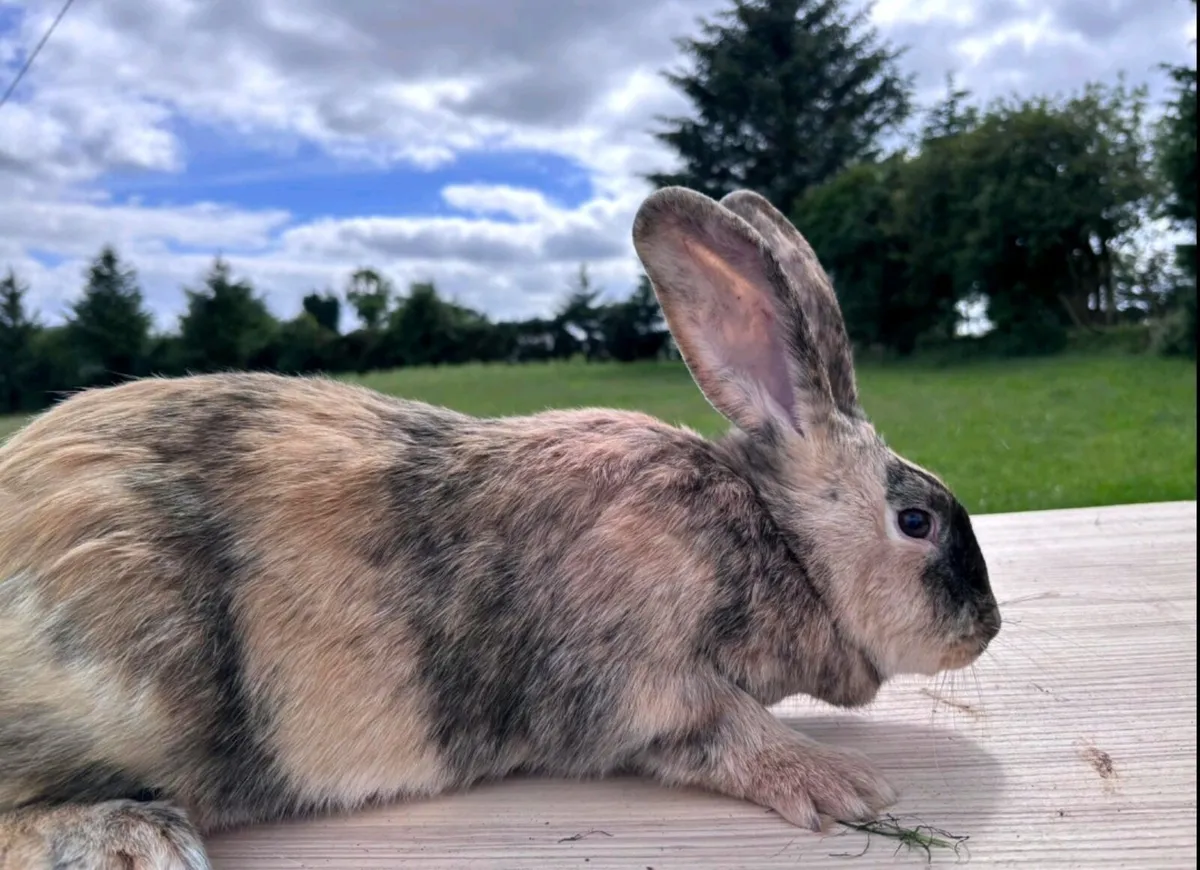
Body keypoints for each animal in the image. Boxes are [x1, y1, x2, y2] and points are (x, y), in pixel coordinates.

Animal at [0, 186, 1000, 870]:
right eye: (915, 521)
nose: (986, 629)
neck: (775, 541)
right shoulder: (645, 682)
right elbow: (730, 732)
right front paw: (843, 786)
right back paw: (137, 839)